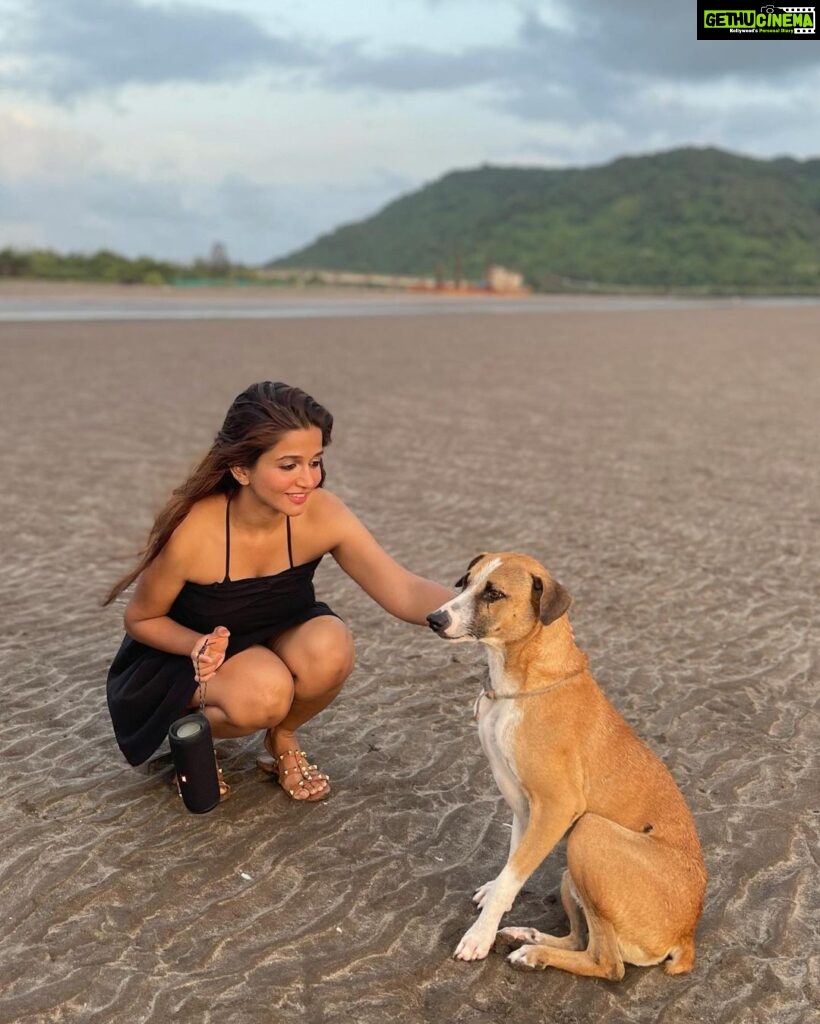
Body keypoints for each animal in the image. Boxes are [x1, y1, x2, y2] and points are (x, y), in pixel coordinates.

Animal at [425, 552, 708, 974]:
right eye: (465, 582)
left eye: (494, 593)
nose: (434, 618)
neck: (523, 683)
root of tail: (686, 934)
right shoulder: (524, 805)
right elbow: (512, 865)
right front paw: (495, 904)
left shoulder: (558, 808)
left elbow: (512, 875)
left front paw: (479, 936)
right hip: (570, 873)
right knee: (580, 938)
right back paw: (527, 937)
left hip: (588, 832)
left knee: (607, 962)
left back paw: (533, 952)